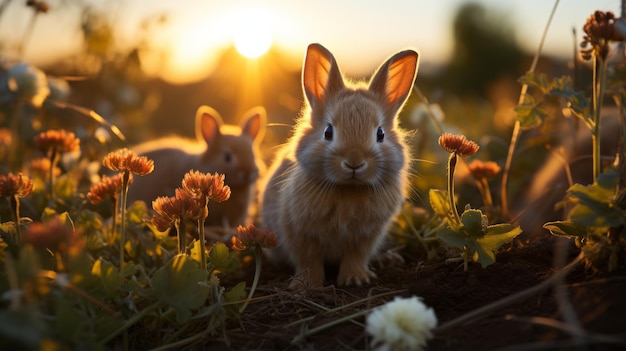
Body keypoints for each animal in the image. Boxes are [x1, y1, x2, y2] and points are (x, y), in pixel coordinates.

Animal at [258, 43, 420, 288]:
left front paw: (356, 279)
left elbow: (356, 255)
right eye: (328, 132)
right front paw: (307, 285)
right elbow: (308, 259)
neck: (348, 189)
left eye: (380, 134)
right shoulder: (298, 232)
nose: (354, 162)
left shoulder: (366, 236)